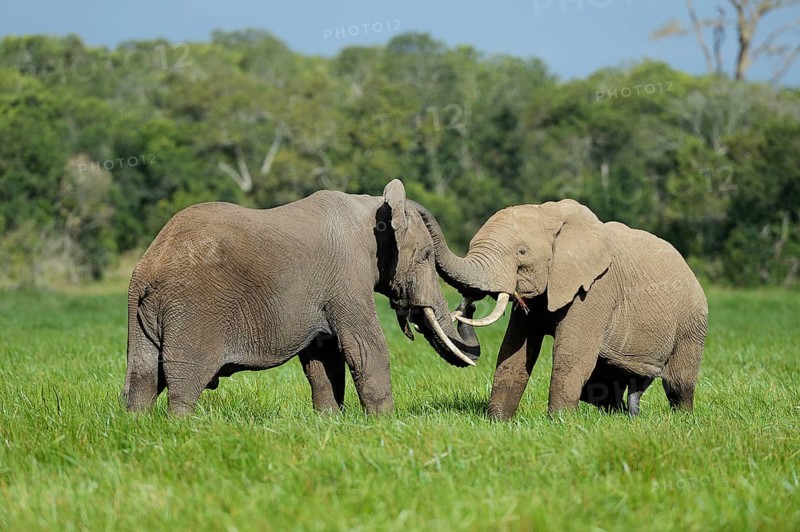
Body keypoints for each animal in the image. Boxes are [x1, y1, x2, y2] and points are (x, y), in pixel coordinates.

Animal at [122, 179, 480, 416]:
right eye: (426, 255)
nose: (470, 304)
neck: (373, 206)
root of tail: (145, 268)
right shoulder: (348, 279)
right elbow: (365, 349)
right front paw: (386, 423)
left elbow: (323, 356)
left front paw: (329, 421)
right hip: (193, 312)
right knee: (184, 381)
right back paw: (183, 426)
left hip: (143, 316)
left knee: (143, 377)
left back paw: (140, 425)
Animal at [414, 199, 708, 419]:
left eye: (521, 252)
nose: (471, 304)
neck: (549, 214)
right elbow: (514, 352)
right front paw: (497, 421)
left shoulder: (596, 288)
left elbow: (571, 354)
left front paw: (560, 423)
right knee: (604, 385)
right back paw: (618, 417)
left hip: (692, 321)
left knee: (678, 382)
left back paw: (681, 418)